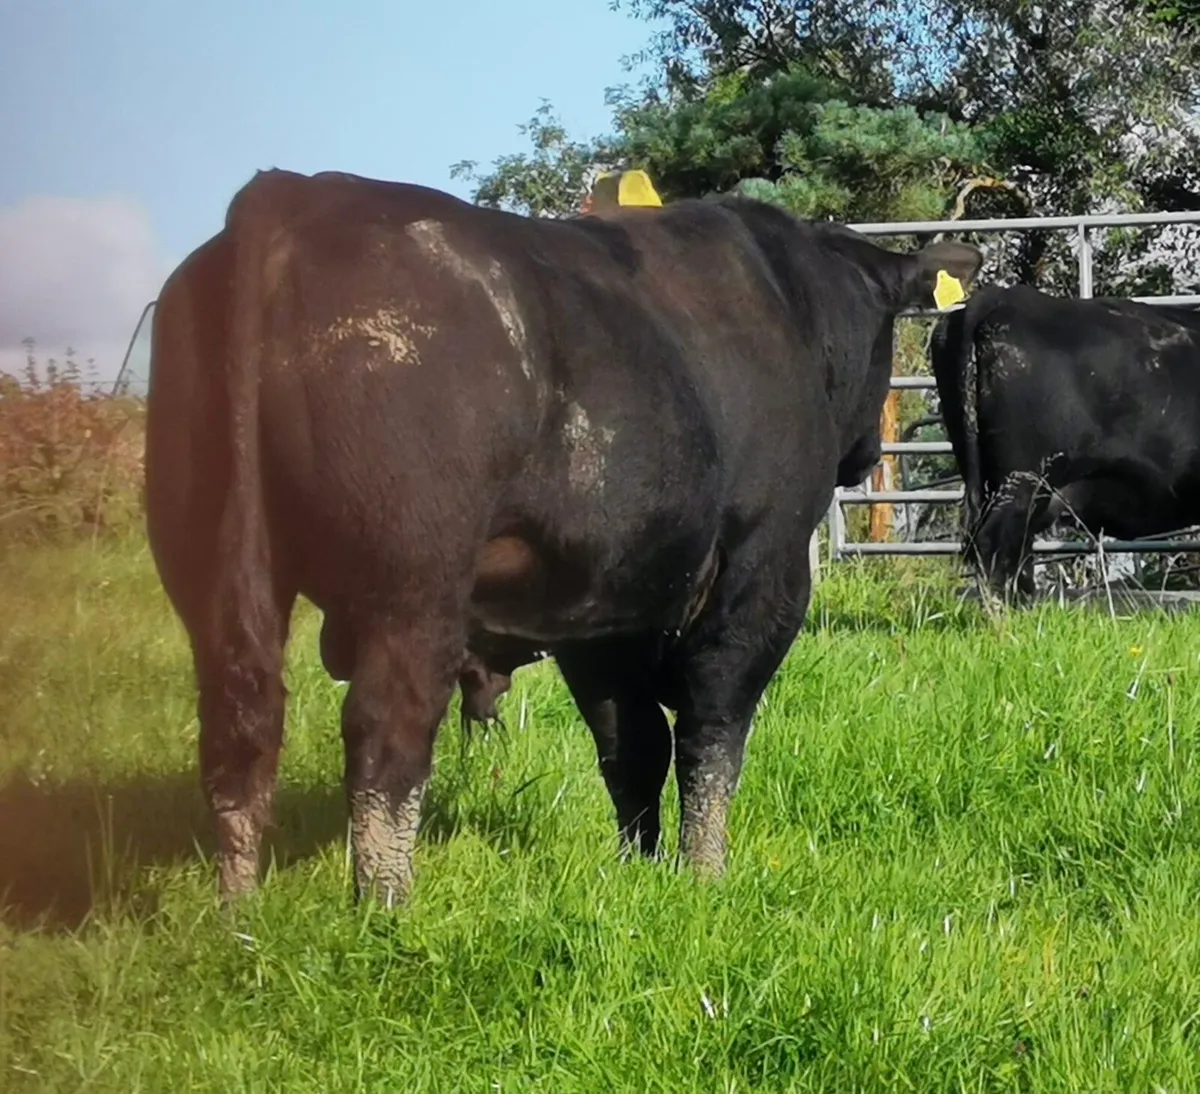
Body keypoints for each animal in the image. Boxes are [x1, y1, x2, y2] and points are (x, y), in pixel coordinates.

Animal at [145, 167, 982, 907]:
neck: (790, 299)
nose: (866, 452)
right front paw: (705, 875)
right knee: (385, 738)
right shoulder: (761, 575)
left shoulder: (600, 616)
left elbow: (631, 745)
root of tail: (291, 198)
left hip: (213, 574)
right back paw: (385, 909)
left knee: (239, 735)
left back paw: (240, 916)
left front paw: (641, 869)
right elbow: (711, 736)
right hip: (411, 588)